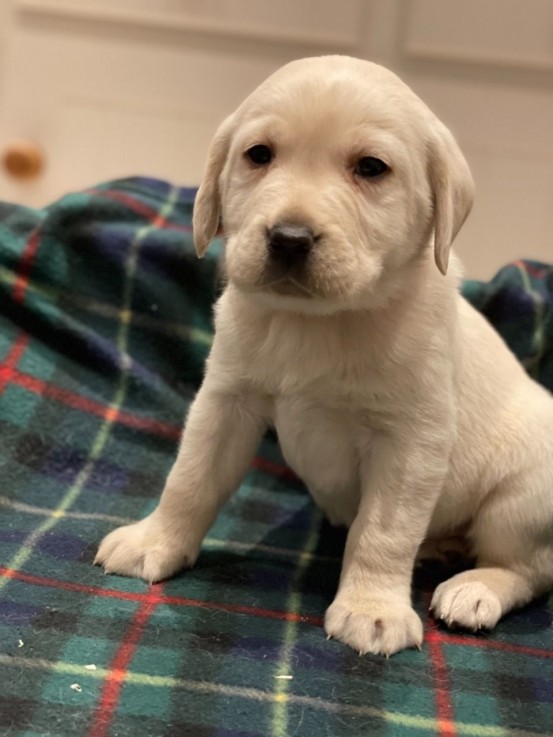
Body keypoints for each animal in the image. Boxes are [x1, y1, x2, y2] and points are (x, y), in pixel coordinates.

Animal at [96, 57, 552, 656]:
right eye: (259, 155)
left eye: (371, 168)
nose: (289, 238)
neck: (316, 323)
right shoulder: (226, 401)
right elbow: (189, 479)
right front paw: (155, 540)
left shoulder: (412, 438)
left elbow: (383, 530)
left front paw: (373, 608)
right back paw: (444, 548)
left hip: (521, 496)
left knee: (528, 568)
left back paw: (474, 588)